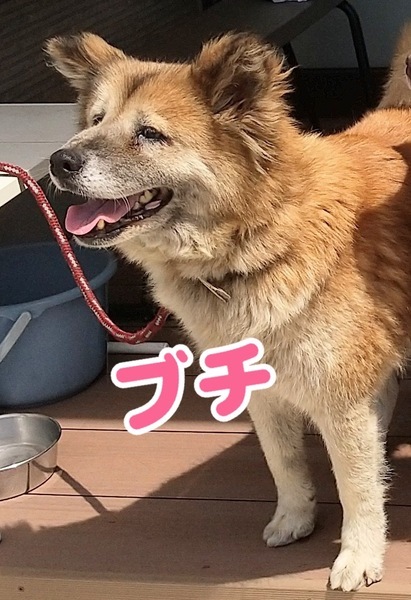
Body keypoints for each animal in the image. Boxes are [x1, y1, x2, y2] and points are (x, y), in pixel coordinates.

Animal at [46, 26, 411, 591]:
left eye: (150, 134)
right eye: (96, 120)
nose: (60, 161)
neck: (260, 243)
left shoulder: (340, 397)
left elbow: (357, 487)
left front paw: (359, 556)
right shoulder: (263, 388)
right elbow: (284, 463)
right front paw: (295, 518)